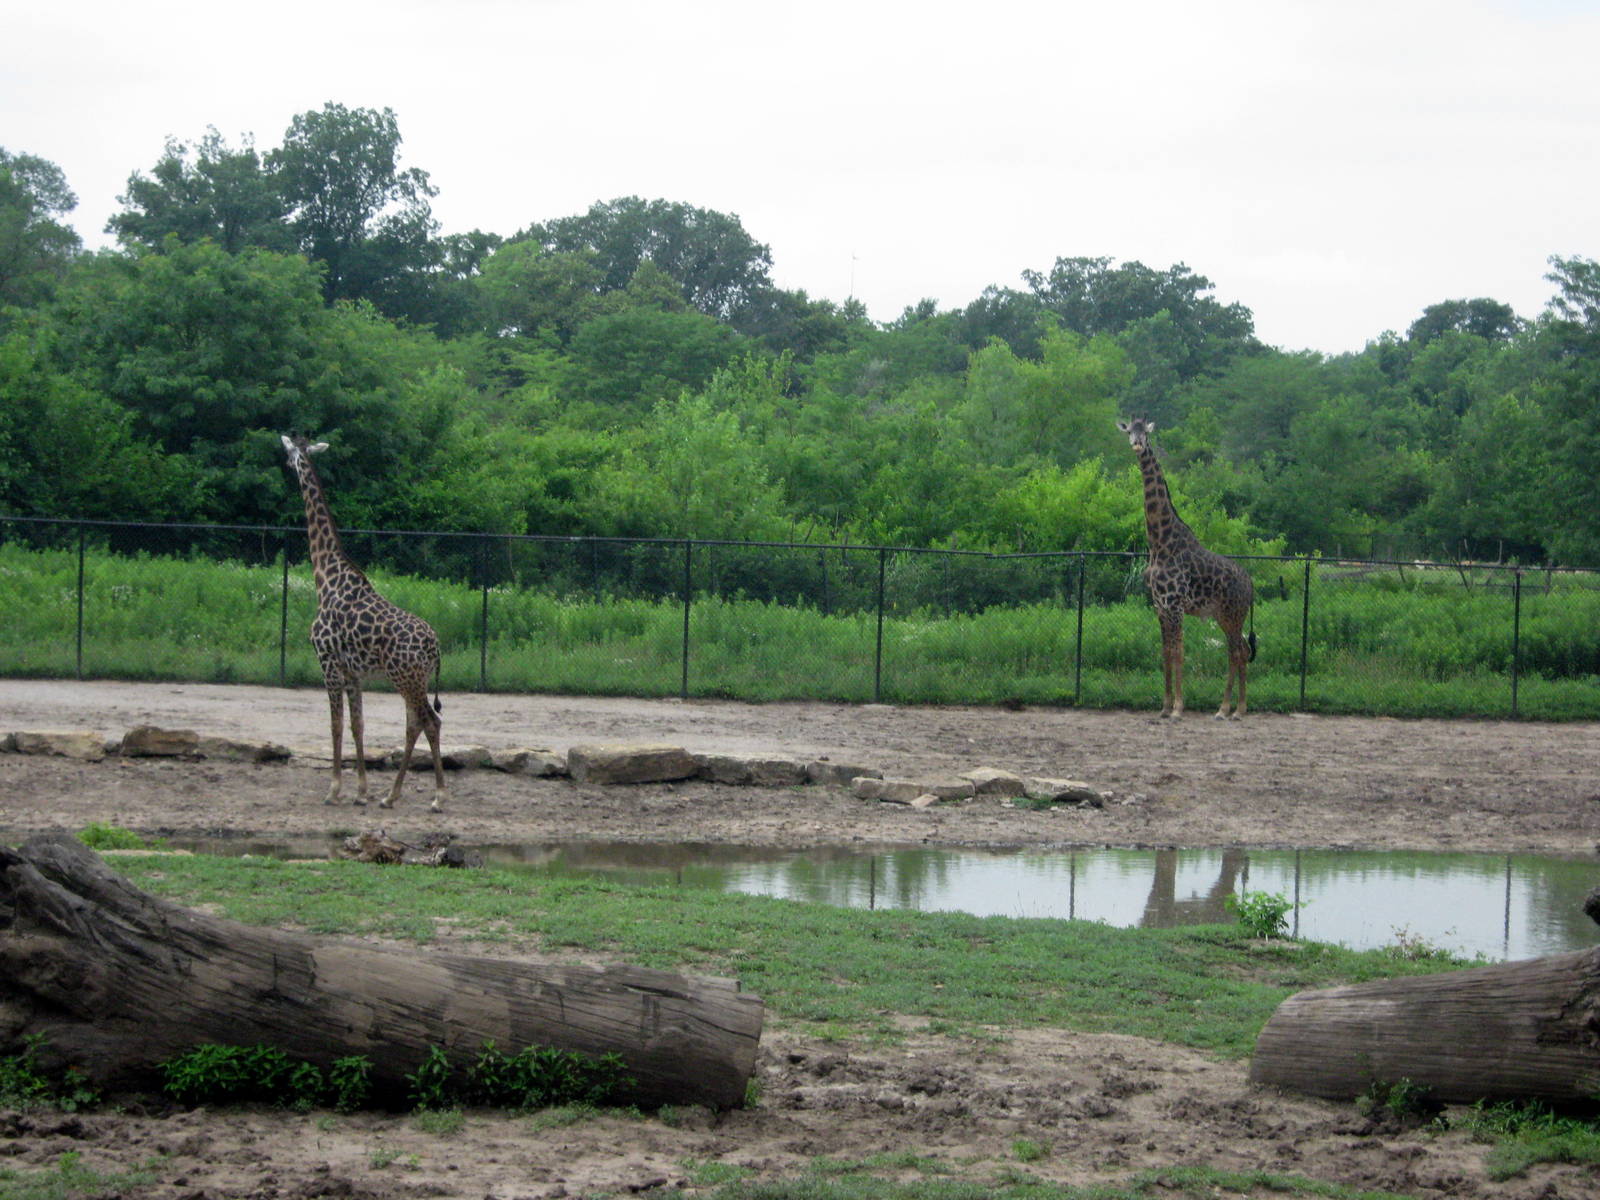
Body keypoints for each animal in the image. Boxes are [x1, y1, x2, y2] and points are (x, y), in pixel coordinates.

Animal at [281, 434, 447, 811]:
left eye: (290, 452)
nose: (285, 464)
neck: (325, 578)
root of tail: (436, 647)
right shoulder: (352, 672)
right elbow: (358, 725)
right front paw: (361, 791)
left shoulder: (327, 662)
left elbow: (336, 725)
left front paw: (333, 790)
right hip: (414, 678)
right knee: (415, 723)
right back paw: (392, 795)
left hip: (405, 677)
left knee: (430, 721)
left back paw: (436, 797)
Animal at [1117, 417, 1256, 720]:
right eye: (1130, 430)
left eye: (1145, 431)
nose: (1137, 444)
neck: (1160, 543)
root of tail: (1251, 585)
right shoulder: (1160, 606)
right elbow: (1166, 652)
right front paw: (1164, 706)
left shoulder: (1176, 605)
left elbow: (1179, 652)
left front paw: (1179, 708)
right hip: (1223, 615)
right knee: (1239, 649)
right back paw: (1232, 708)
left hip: (1233, 613)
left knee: (1237, 651)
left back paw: (1230, 709)